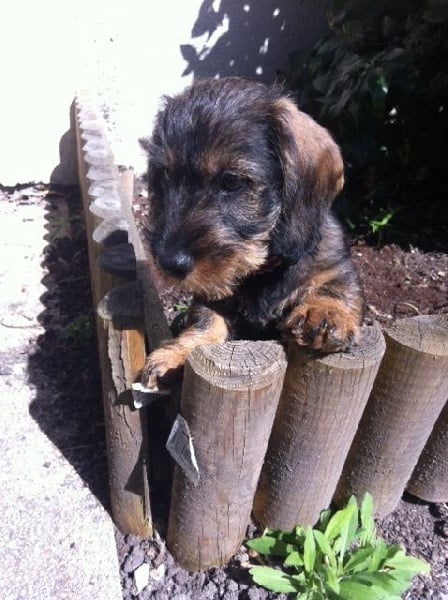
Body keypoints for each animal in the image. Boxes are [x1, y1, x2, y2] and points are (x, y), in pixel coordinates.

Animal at [140, 77, 363, 388]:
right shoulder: (213, 293)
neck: (262, 270)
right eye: (166, 175)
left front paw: (324, 312)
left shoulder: (335, 265)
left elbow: (336, 286)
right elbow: (204, 322)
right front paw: (176, 354)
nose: (170, 263)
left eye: (232, 181)